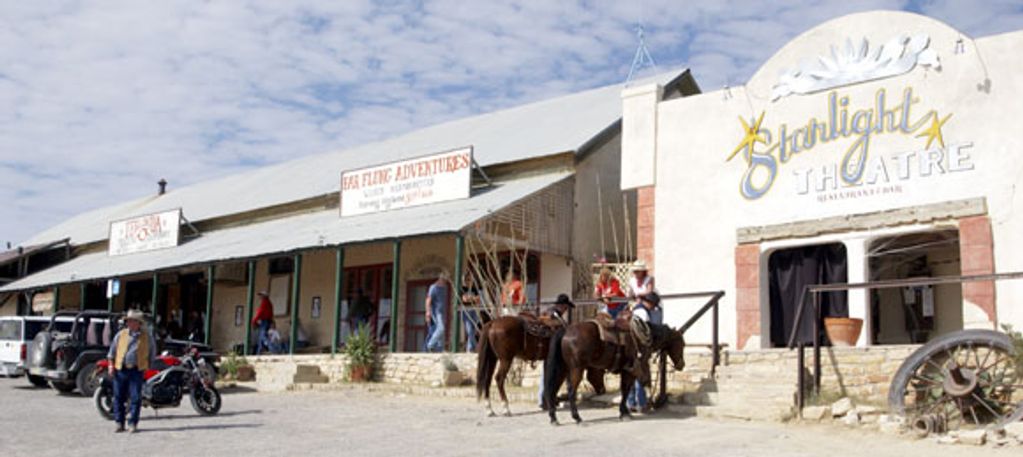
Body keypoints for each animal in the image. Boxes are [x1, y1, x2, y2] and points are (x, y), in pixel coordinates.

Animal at [544, 323, 687, 425]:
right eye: (682, 343)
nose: (681, 364)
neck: (640, 338)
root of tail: (566, 331)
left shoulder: (627, 371)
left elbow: (626, 390)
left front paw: (625, 412)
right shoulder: (630, 371)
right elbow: (626, 391)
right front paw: (624, 413)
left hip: (563, 369)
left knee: (553, 389)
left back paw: (553, 418)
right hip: (576, 369)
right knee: (571, 391)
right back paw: (577, 417)